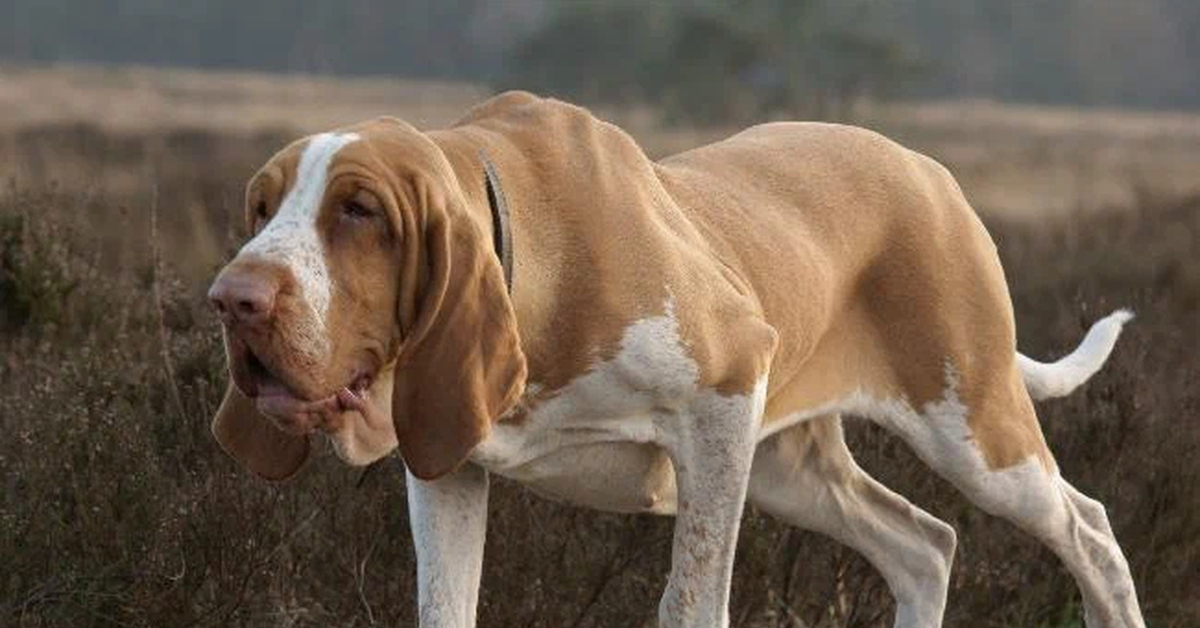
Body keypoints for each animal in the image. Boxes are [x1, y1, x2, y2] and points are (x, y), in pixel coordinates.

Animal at [211, 89, 1147, 628]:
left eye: (360, 210)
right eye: (259, 206)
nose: (231, 299)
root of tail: (928, 169)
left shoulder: (723, 398)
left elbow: (692, 599)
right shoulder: (449, 468)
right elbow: (446, 605)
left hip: (974, 430)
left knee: (1091, 531)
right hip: (790, 468)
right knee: (924, 545)